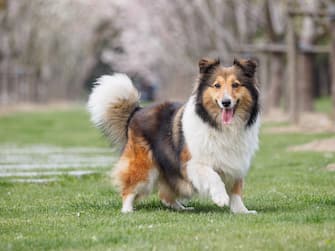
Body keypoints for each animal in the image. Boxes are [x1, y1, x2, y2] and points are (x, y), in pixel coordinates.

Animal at [88, 57, 262, 213]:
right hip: (144, 167)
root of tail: (137, 111)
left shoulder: (236, 162)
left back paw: (182, 208)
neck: (218, 125)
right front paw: (220, 197)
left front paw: (242, 211)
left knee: (165, 195)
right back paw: (127, 210)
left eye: (235, 85)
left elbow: (236, 190)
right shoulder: (192, 163)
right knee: (129, 188)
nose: (226, 103)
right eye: (217, 85)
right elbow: (213, 176)